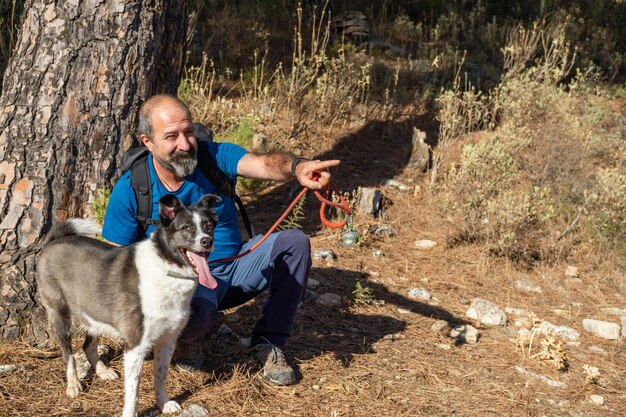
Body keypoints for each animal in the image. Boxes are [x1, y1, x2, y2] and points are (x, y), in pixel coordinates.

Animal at [36, 193, 221, 414]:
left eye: (208, 226)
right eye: (186, 227)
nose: (207, 241)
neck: (167, 268)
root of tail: (55, 240)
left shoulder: (167, 341)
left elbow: (160, 378)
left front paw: (163, 403)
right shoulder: (135, 347)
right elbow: (133, 393)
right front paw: (130, 413)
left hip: (94, 311)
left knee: (88, 346)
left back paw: (103, 371)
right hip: (59, 314)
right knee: (68, 353)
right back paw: (73, 384)